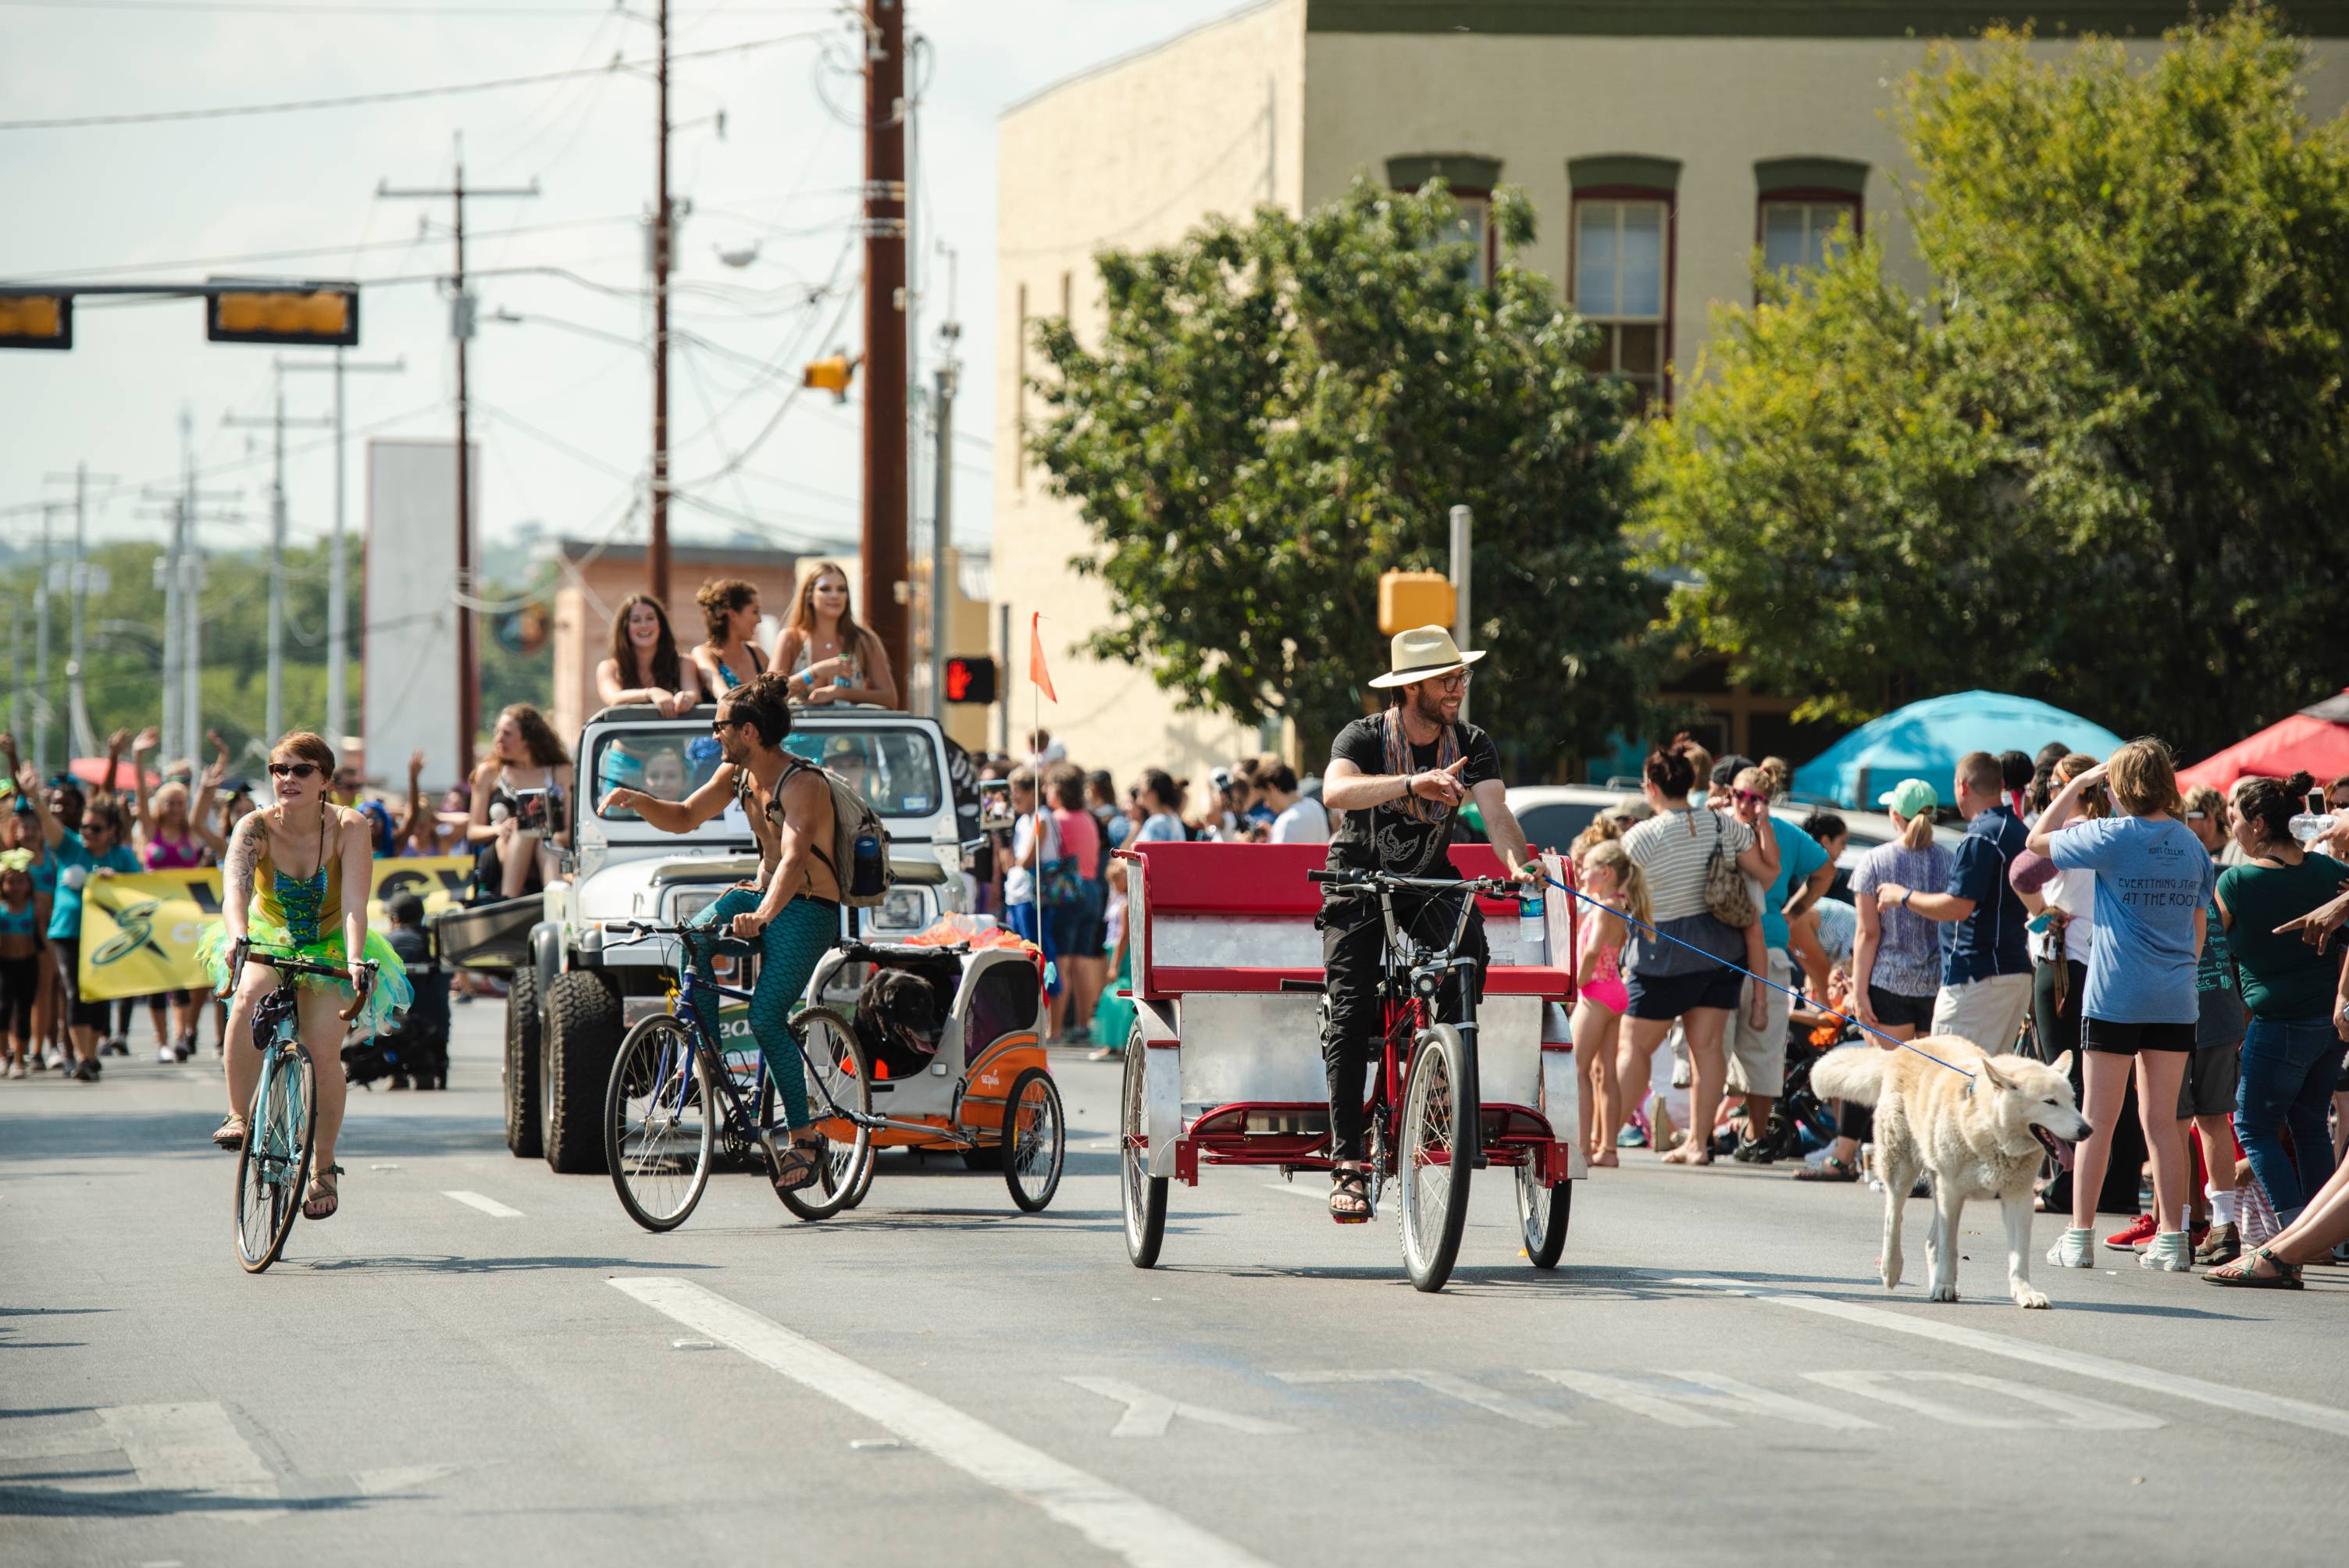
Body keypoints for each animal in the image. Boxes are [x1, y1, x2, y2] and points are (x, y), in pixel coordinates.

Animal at [1813, 1042, 2095, 1314]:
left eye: (2073, 1100)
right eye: (2050, 1102)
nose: (2087, 1130)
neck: (1990, 1132)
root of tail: (1901, 1049)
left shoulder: (2019, 1197)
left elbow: (2019, 1254)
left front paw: (2025, 1293)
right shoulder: (1952, 1193)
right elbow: (1949, 1248)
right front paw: (1944, 1286)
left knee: (1930, 1241)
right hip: (1902, 1170)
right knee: (1894, 1218)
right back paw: (1891, 1269)